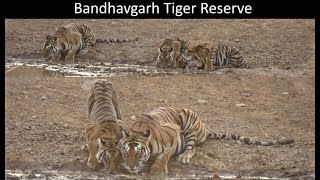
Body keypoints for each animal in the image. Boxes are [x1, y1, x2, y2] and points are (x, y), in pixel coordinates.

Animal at [120, 107, 296, 174]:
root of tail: (204, 128)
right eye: (125, 153)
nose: (130, 167)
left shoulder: (173, 133)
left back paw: (184, 157)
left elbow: (164, 154)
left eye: (138, 153)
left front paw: (157, 169)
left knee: (193, 148)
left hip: (187, 118)